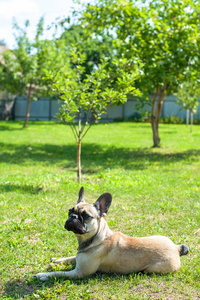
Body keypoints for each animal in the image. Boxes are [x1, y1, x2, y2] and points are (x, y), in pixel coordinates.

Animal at [34, 188, 189, 282]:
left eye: (86, 216)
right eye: (69, 211)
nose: (72, 217)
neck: (97, 238)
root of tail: (176, 249)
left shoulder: (79, 272)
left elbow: (59, 273)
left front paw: (43, 275)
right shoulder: (79, 258)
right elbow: (69, 258)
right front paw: (56, 260)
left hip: (153, 269)